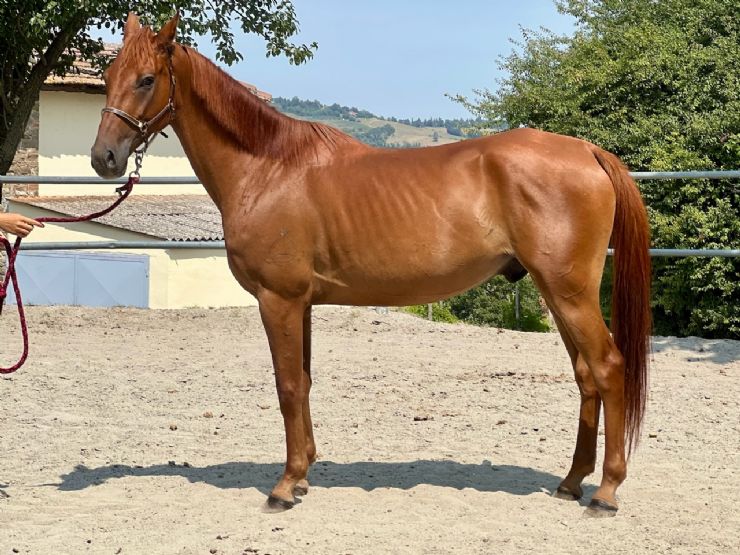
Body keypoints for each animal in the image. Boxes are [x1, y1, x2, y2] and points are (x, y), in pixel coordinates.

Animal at [91, 13, 651, 516]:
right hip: (556, 292)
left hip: (569, 291)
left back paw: (605, 492)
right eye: (108, 75)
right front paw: (303, 474)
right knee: (585, 375)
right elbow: (304, 381)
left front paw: (284, 486)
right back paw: (571, 481)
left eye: (146, 79)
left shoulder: (279, 300)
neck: (268, 168)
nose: (104, 158)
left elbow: (287, 385)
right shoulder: (302, 304)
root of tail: (588, 151)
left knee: (607, 367)